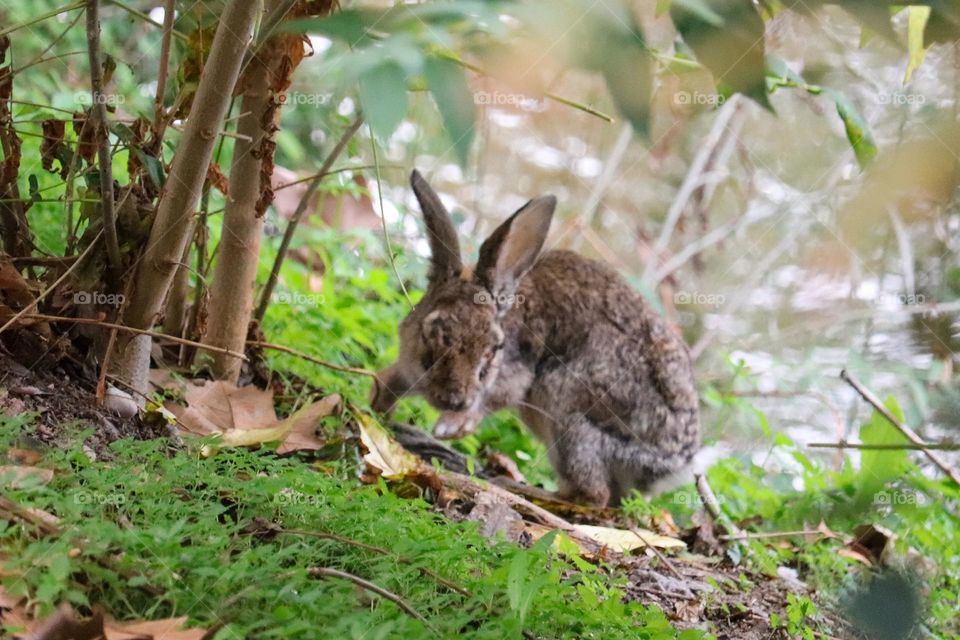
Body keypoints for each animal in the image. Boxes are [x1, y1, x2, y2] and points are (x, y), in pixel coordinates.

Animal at [372, 169, 700, 504]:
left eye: (494, 349)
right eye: (432, 333)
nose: (454, 400)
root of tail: (674, 466)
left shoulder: (516, 374)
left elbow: (500, 394)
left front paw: (450, 427)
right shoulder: (410, 369)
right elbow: (387, 384)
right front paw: (378, 411)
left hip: (570, 413)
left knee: (593, 494)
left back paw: (528, 492)